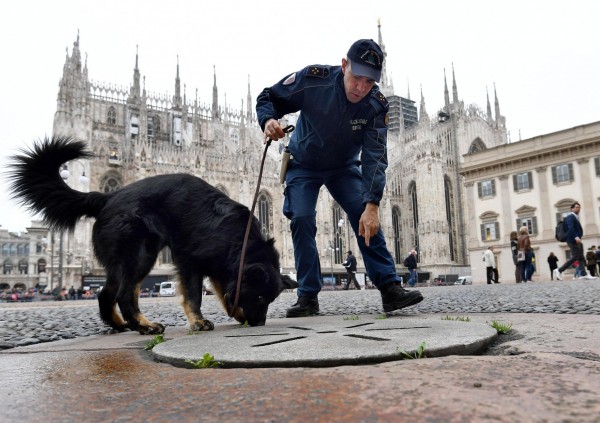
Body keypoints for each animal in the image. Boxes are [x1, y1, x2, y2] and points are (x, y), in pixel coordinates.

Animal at [8, 137, 296, 336]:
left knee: (106, 294)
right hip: (140, 254)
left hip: (124, 261)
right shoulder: (189, 261)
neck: (240, 240)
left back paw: (122, 325)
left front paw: (235, 312)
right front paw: (199, 321)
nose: (259, 323)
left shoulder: (220, 267)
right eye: (260, 297)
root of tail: (108, 197)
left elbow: (225, 293)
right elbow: (195, 294)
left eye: (270, 299)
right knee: (124, 295)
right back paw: (145, 326)